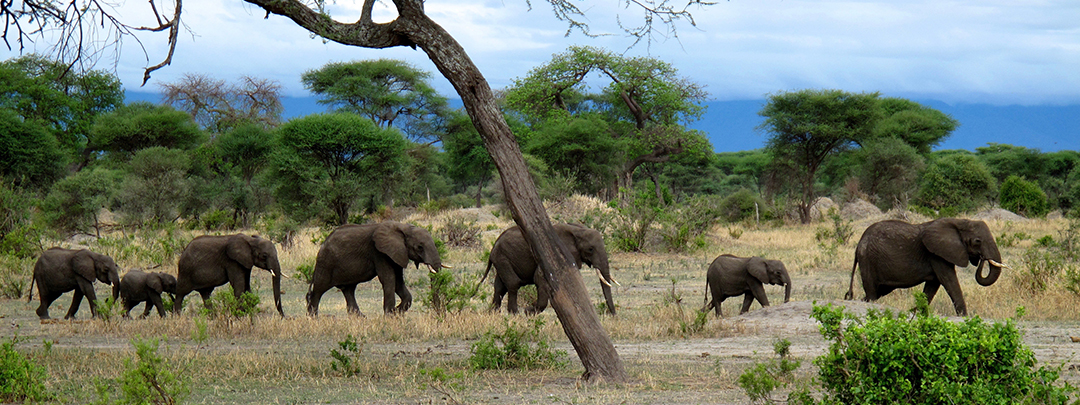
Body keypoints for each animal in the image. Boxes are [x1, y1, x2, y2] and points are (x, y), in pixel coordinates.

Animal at [306, 221, 447, 316]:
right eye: (419, 247)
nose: (439, 314)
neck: (403, 227)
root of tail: (323, 243)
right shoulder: (379, 253)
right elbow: (389, 279)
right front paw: (390, 315)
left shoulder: (396, 253)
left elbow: (398, 281)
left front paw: (395, 312)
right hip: (326, 263)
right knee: (319, 289)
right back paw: (313, 318)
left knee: (349, 289)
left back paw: (360, 318)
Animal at [478, 223, 619, 315]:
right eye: (590, 249)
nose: (613, 314)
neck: (577, 230)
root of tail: (494, 245)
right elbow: (539, 278)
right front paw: (529, 312)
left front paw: (529, 311)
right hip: (502, 258)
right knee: (513, 283)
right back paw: (515, 314)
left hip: (502, 260)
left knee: (500, 287)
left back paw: (493, 314)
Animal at [844, 218, 1008, 316]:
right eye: (977, 241)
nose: (982, 259)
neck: (960, 221)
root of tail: (858, 244)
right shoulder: (936, 254)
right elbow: (949, 281)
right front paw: (964, 316)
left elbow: (932, 286)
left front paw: (915, 312)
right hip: (868, 259)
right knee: (872, 292)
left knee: (875, 292)